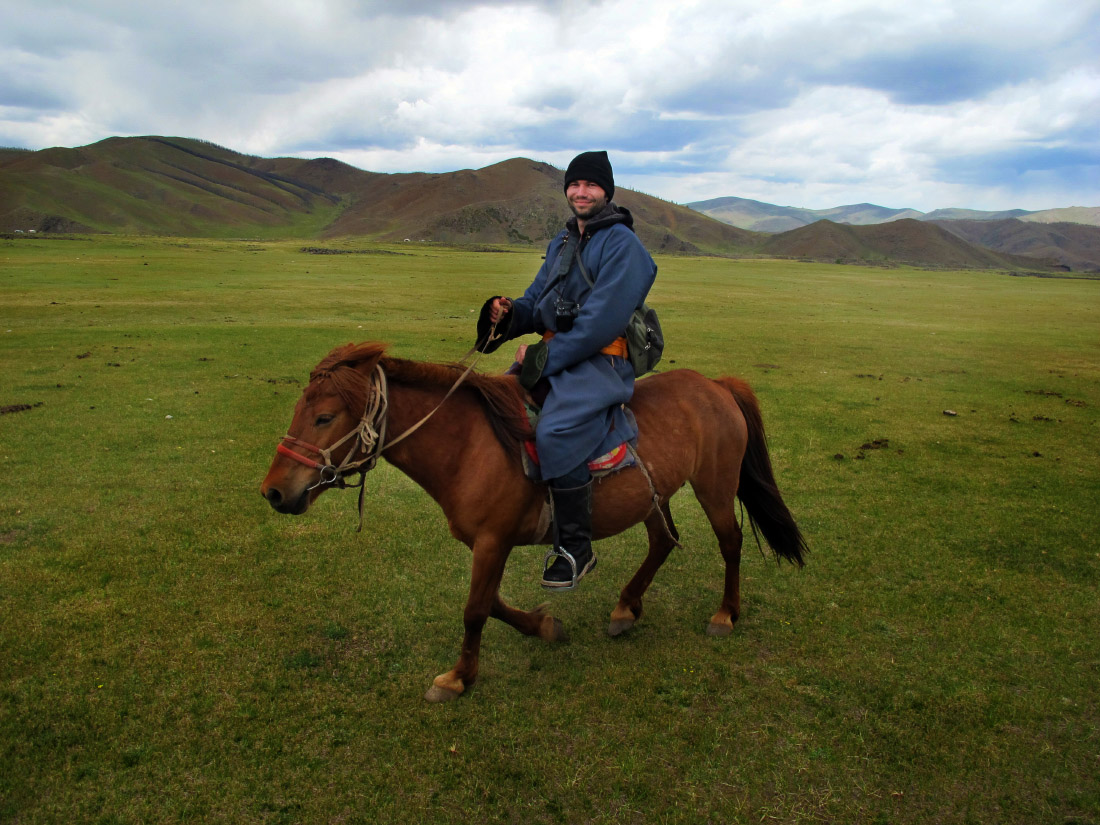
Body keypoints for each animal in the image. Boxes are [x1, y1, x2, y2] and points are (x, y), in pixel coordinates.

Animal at [259, 343, 809, 704]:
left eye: (325, 417)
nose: (274, 491)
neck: (468, 446)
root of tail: (716, 385)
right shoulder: (486, 542)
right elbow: (493, 603)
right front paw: (545, 627)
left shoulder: (493, 541)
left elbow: (476, 610)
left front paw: (458, 677)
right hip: (654, 497)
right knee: (663, 542)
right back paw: (626, 608)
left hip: (714, 486)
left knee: (731, 542)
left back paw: (725, 615)